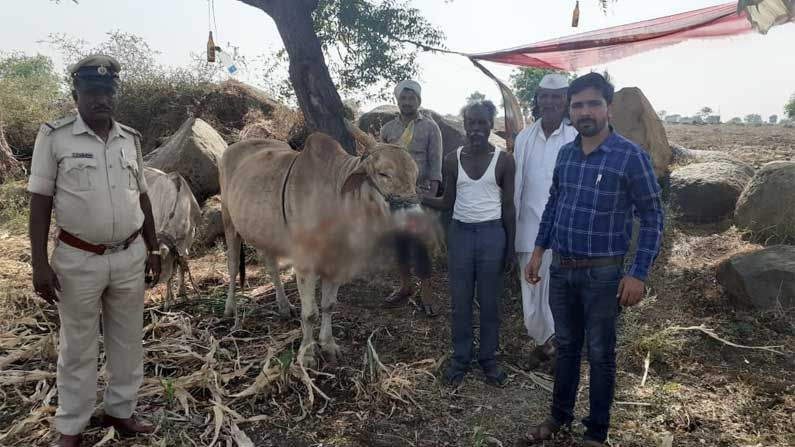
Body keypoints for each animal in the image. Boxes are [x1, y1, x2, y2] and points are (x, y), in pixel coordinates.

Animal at [221, 131, 420, 366]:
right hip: (229, 222)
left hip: (266, 234)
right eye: (383, 173)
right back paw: (230, 308)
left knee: (272, 266)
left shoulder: (337, 264)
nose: (413, 216)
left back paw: (284, 306)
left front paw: (328, 345)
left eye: (415, 175)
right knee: (233, 265)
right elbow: (310, 313)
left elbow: (328, 306)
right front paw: (307, 353)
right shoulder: (305, 265)